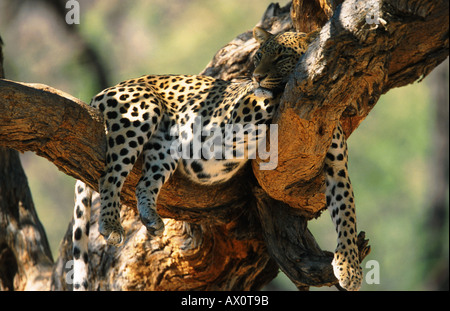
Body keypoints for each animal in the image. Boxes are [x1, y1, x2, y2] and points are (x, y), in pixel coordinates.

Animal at [72, 26, 364, 292]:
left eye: (282, 56)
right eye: (259, 56)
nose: (257, 76)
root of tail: (106, 89)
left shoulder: (337, 167)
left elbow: (346, 213)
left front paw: (350, 268)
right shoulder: (234, 116)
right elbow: (262, 97)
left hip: (164, 148)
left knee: (144, 182)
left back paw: (150, 218)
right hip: (141, 111)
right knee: (110, 175)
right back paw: (111, 224)